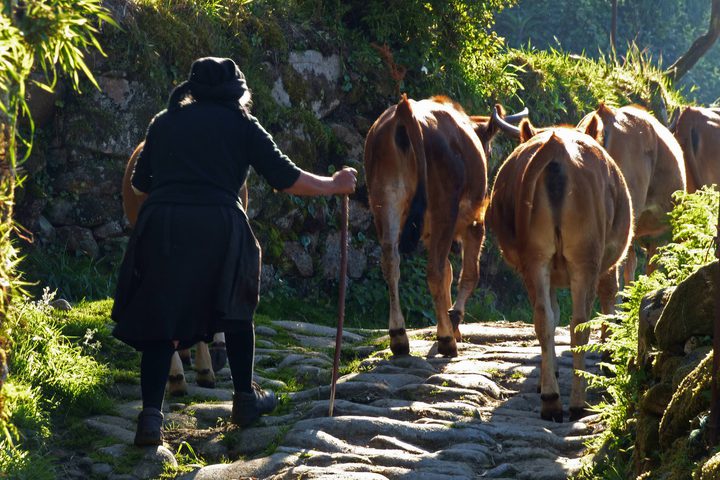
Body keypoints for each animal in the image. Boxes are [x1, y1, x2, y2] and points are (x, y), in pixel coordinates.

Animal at [366, 94, 512, 356]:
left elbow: (448, 272)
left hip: (384, 201)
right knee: (433, 270)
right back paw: (445, 339)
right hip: (444, 208)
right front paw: (453, 320)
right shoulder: (475, 222)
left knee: (391, 262)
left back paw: (399, 336)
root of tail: (404, 110)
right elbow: (468, 274)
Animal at [486, 120, 632, 420]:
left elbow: (552, 313)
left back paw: (551, 398)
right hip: (585, 258)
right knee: (579, 324)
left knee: (544, 319)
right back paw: (577, 402)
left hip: (536, 258)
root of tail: (555, 146)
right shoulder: (606, 263)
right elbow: (609, 298)